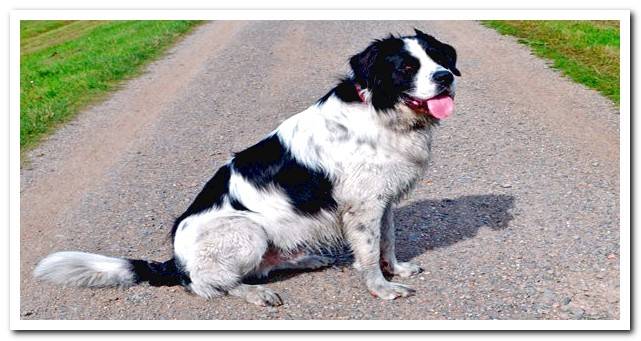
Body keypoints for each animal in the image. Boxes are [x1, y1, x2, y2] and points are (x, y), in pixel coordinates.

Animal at [33, 28, 460, 306]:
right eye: (406, 67)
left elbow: (387, 241)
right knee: (209, 285)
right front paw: (381, 288)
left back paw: (306, 260)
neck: (380, 110)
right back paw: (255, 293)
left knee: (260, 267)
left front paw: (397, 270)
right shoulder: (363, 205)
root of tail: (176, 262)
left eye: (439, 59)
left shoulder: (382, 200)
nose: (444, 78)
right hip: (247, 230)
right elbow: (369, 254)